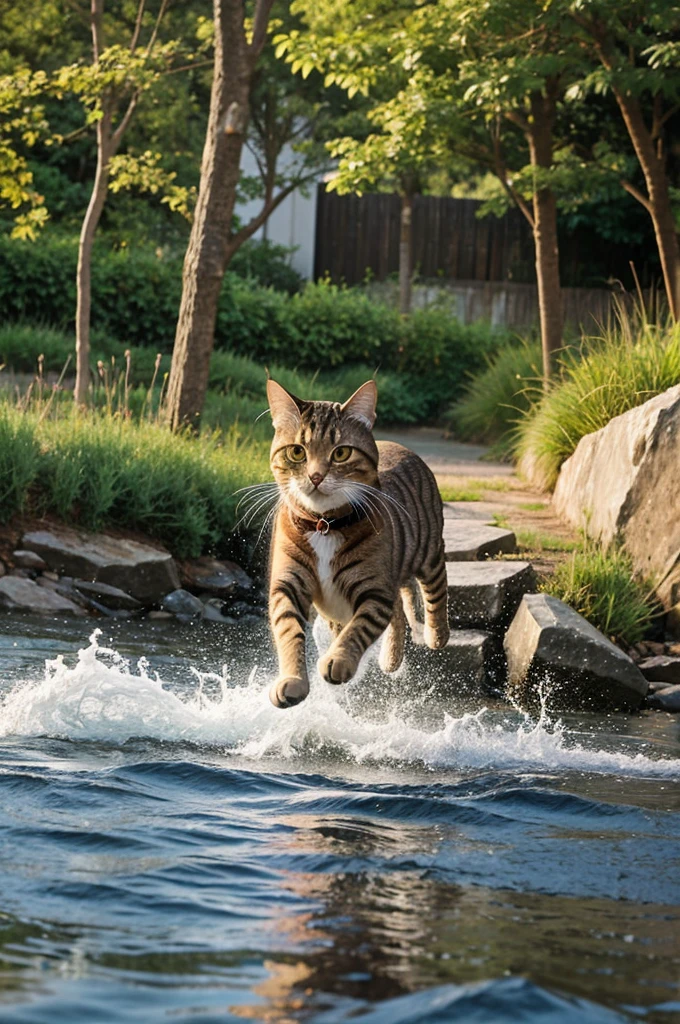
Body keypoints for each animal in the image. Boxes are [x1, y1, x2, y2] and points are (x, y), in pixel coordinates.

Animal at [262, 380, 448, 708]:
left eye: (341, 454)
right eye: (297, 452)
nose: (315, 476)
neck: (324, 525)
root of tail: (401, 446)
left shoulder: (375, 589)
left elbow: (359, 629)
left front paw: (338, 661)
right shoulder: (288, 583)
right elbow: (288, 630)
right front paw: (292, 680)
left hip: (428, 550)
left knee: (435, 590)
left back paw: (436, 635)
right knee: (398, 610)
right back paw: (391, 659)